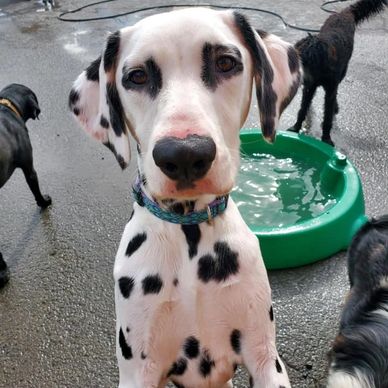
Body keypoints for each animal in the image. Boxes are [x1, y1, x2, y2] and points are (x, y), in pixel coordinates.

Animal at [69, 6, 300, 388]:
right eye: (136, 76)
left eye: (225, 62)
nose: (185, 154)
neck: (189, 233)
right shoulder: (139, 371)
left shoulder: (265, 358)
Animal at [290, 0, 386, 145]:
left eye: (307, 64)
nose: (299, 80)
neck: (321, 69)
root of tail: (344, 12)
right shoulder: (309, 87)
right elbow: (303, 108)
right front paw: (296, 127)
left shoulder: (329, 89)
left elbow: (328, 115)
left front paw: (326, 138)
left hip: (343, 73)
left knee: (335, 94)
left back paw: (335, 107)